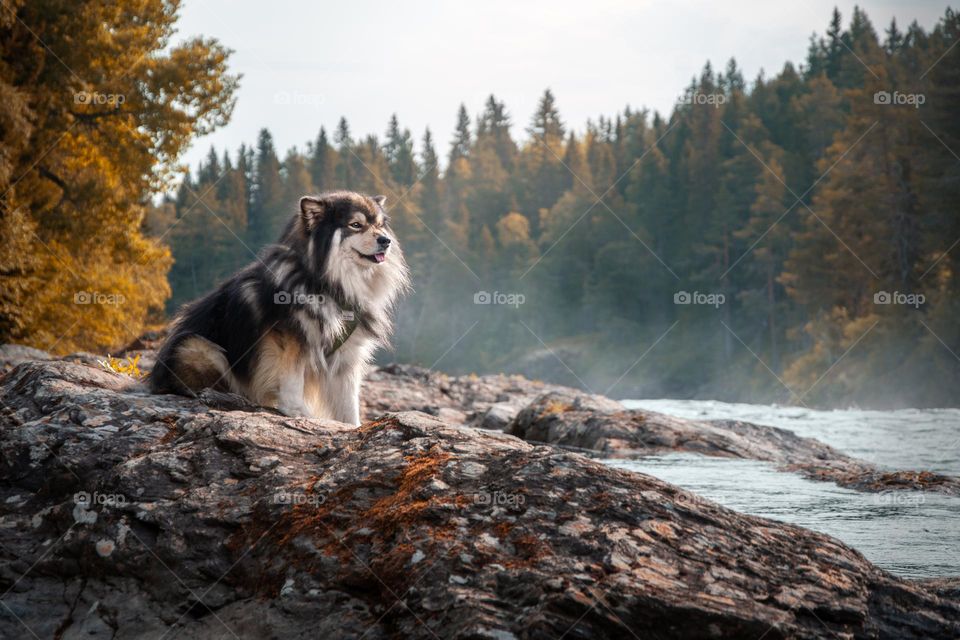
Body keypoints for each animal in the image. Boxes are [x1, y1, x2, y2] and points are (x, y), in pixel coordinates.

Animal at [149, 190, 408, 424]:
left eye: (380, 225)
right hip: (197, 347)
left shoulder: (347, 355)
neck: (327, 282)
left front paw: (353, 427)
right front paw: (296, 411)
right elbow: (292, 378)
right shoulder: (291, 337)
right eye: (356, 225)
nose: (386, 241)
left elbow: (348, 404)